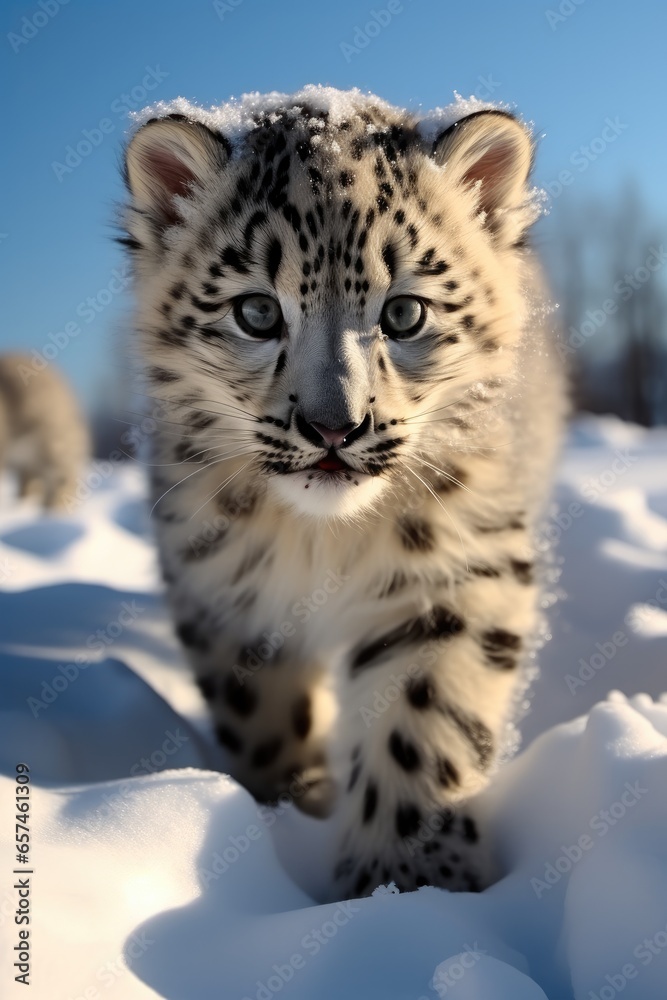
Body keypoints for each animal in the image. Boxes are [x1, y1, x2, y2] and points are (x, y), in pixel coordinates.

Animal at [120, 86, 566, 900]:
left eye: (405, 312)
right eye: (256, 311)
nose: (334, 426)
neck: (319, 540)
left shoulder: (456, 569)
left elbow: (425, 718)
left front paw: (407, 881)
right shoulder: (220, 580)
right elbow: (259, 711)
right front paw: (290, 803)